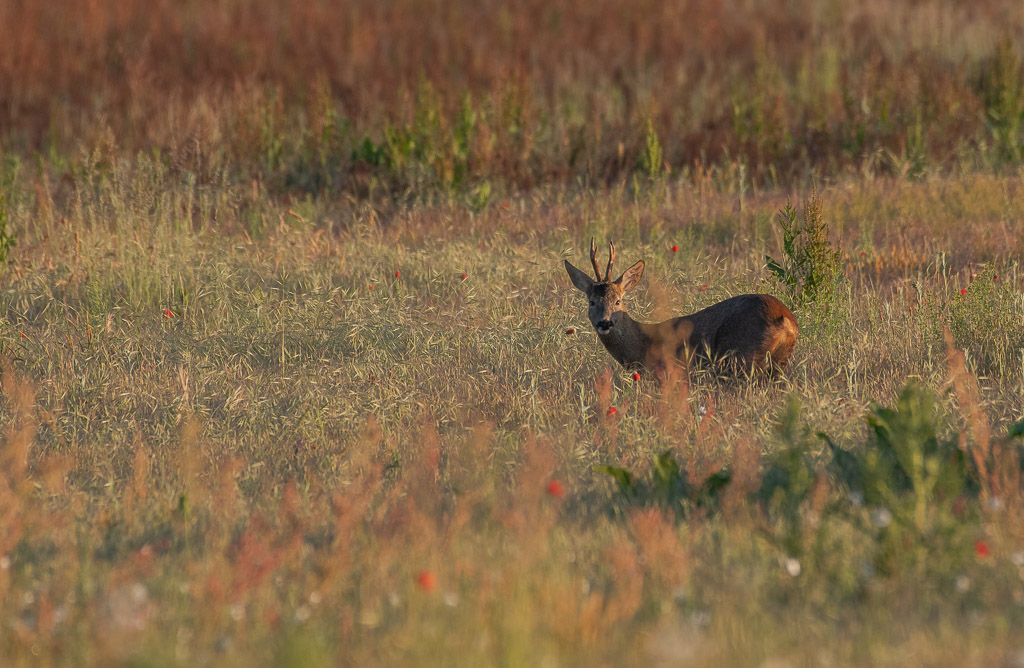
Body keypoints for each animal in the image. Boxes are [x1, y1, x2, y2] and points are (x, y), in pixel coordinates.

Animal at [565, 239, 794, 374]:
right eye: (592, 302)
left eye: (618, 301)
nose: (605, 323)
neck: (643, 343)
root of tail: (785, 318)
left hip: (743, 357)